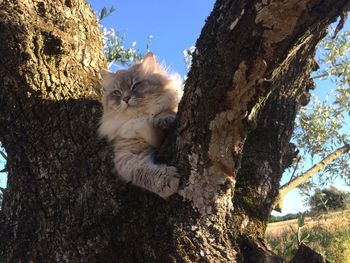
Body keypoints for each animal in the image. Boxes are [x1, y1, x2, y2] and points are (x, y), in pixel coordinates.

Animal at [97, 52, 182, 199]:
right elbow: (143, 171)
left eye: (135, 85)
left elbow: (167, 111)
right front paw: (166, 181)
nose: (125, 98)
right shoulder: (127, 155)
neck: (140, 118)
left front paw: (164, 120)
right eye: (117, 92)